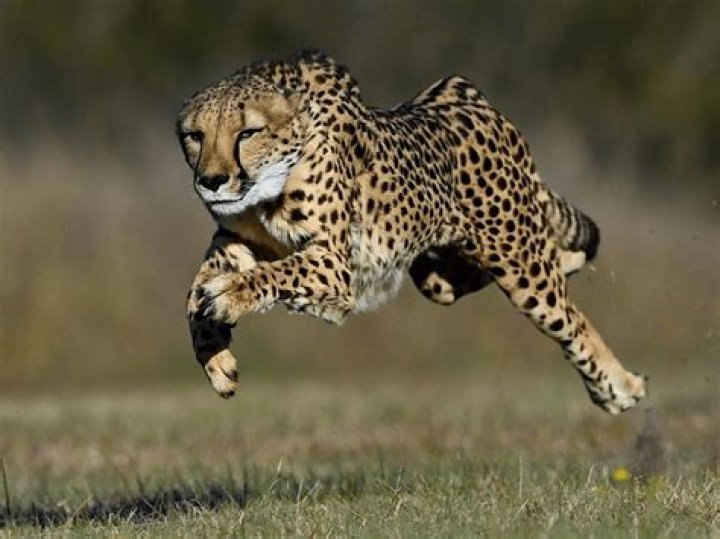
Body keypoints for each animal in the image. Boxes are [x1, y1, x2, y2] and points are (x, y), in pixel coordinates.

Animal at [176, 50, 646, 414]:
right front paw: (214, 355)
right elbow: (194, 291)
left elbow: (268, 275)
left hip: (520, 266)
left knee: (571, 318)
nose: (212, 181)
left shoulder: (334, 264)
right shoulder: (236, 240)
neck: (266, 188)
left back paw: (619, 387)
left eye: (248, 132)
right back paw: (571, 261)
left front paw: (229, 295)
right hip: (436, 275)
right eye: (195, 135)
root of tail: (466, 95)